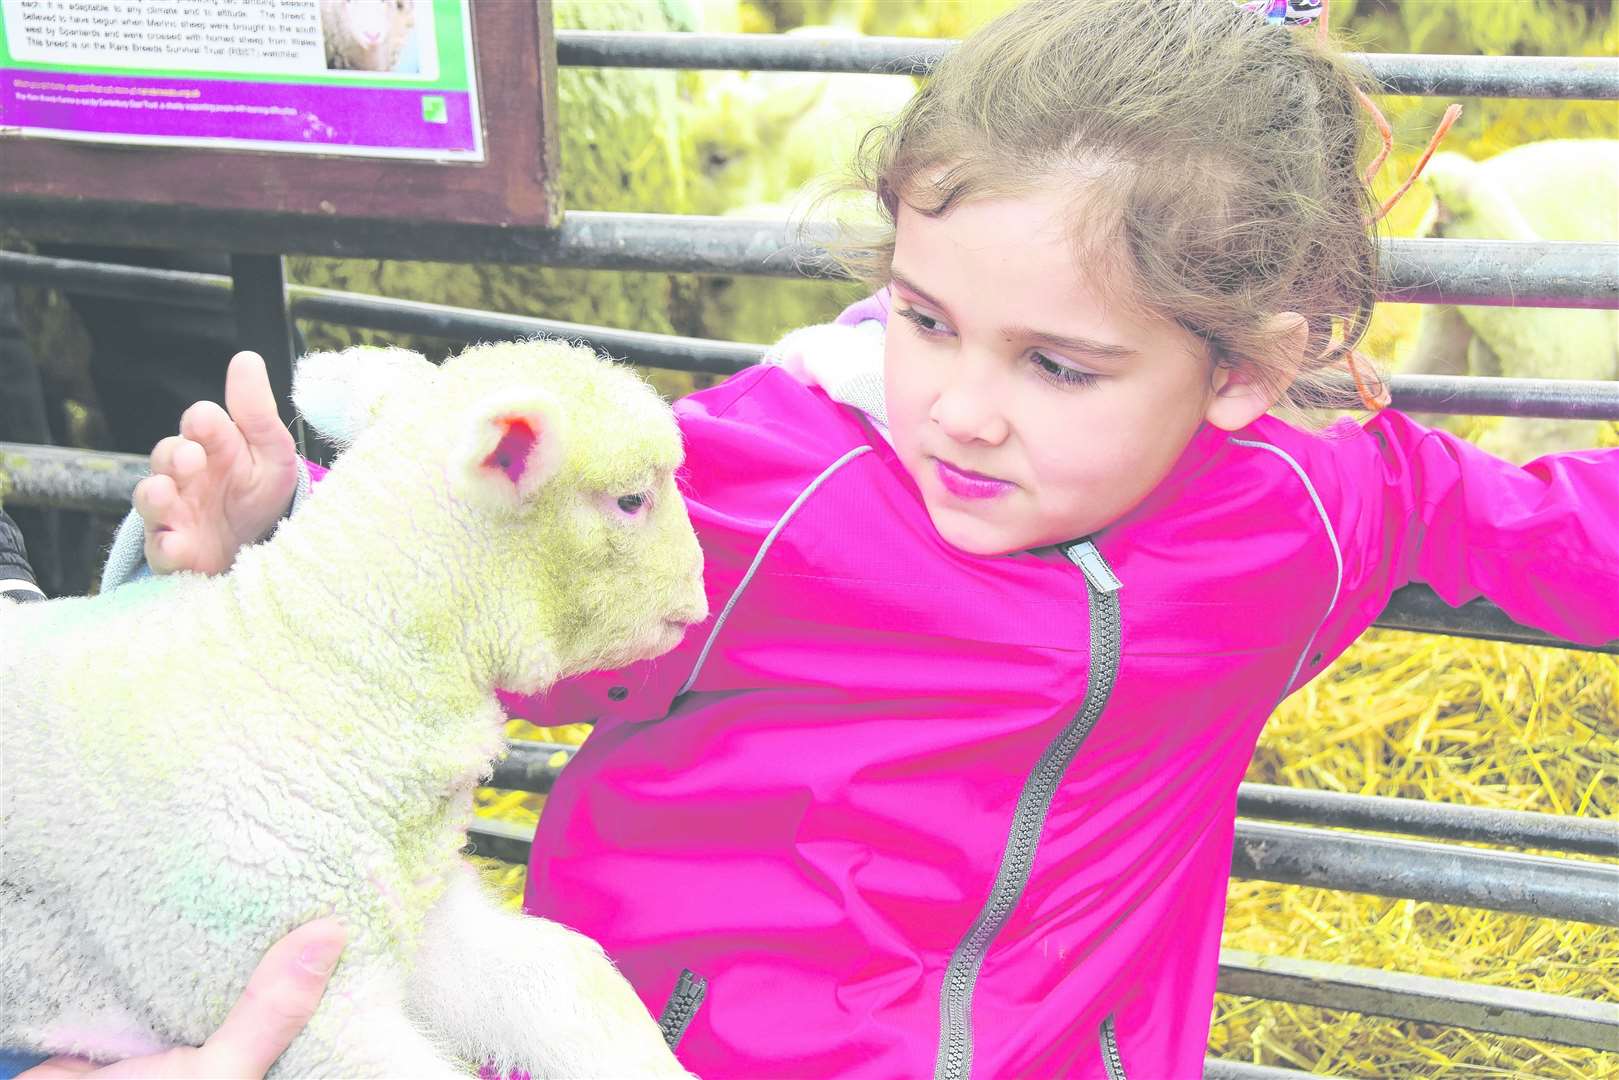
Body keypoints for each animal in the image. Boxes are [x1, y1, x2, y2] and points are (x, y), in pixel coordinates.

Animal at [1, 335, 709, 1075]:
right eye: (631, 500)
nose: (700, 597)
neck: (332, 678)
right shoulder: (278, 983)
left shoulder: (419, 911)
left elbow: (568, 979)